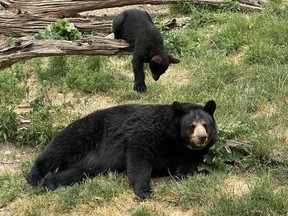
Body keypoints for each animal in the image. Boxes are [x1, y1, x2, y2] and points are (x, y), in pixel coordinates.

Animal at [26, 100, 216, 198]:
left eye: (206, 124)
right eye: (192, 126)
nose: (202, 137)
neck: (176, 141)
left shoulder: (193, 153)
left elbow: (188, 166)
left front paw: (183, 174)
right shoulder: (147, 132)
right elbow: (139, 157)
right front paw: (144, 191)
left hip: (85, 164)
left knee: (73, 173)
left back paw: (49, 183)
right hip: (84, 132)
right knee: (58, 148)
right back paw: (34, 177)